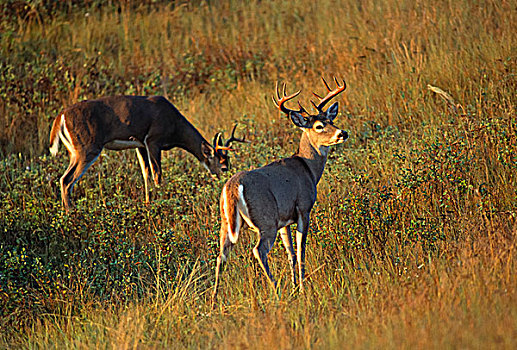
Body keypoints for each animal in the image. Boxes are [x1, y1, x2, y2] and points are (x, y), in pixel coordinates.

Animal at [49, 94, 245, 212]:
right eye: (224, 166)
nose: (223, 182)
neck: (175, 126)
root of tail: (61, 117)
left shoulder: (140, 144)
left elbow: (146, 174)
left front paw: (148, 203)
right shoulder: (153, 140)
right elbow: (157, 175)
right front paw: (162, 204)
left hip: (75, 151)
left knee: (65, 179)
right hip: (87, 147)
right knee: (66, 180)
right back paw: (71, 215)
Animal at [212, 77, 348, 304]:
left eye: (331, 120)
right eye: (319, 126)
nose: (342, 133)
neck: (308, 168)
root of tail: (232, 187)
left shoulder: (284, 220)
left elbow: (290, 253)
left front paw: (295, 287)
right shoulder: (303, 208)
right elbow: (301, 251)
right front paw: (301, 289)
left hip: (227, 222)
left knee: (221, 255)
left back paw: (214, 301)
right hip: (265, 219)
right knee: (258, 250)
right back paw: (276, 291)